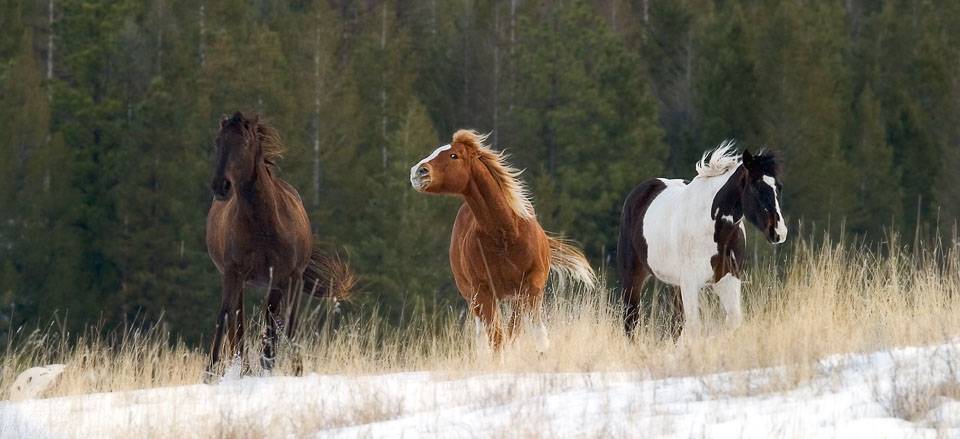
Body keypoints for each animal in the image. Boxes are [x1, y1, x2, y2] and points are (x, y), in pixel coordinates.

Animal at [205, 111, 354, 379]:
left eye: (244, 143)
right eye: (217, 141)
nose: (221, 186)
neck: (264, 227)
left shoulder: (286, 277)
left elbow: (281, 323)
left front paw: (283, 365)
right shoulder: (233, 275)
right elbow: (226, 318)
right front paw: (210, 372)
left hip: (283, 282)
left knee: (277, 320)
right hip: (240, 282)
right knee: (238, 326)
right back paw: (245, 366)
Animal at [410, 130, 596, 354]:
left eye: (454, 155)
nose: (418, 172)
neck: (506, 234)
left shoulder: (530, 285)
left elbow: (528, 331)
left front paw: (541, 349)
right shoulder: (483, 292)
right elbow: (497, 337)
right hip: (473, 297)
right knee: (485, 337)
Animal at [616, 141, 786, 338]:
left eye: (779, 187)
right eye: (756, 187)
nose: (779, 232)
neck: (714, 230)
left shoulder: (728, 279)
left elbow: (732, 321)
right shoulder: (691, 281)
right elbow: (695, 326)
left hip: (677, 286)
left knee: (675, 326)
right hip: (633, 279)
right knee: (630, 322)